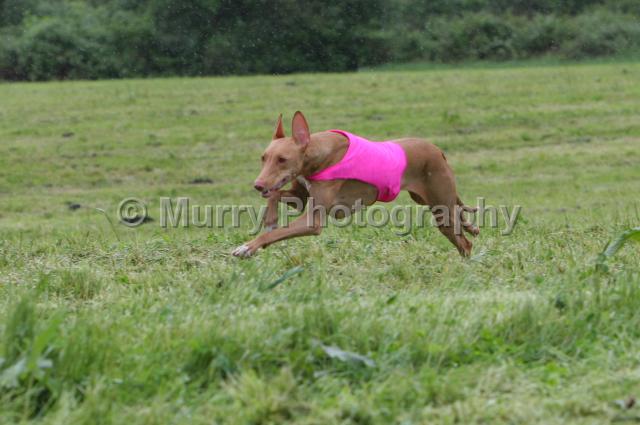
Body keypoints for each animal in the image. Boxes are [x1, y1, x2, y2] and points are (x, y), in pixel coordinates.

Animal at [232, 111, 478, 258]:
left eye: (282, 159)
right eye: (264, 158)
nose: (258, 185)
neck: (317, 155)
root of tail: (438, 150)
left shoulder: (313, 221)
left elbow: (275, 233)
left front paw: (248, 246)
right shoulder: (301, 198)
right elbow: (276, 197)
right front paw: (270, 220)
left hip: (440, 208)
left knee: (464, 243)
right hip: (427, 199)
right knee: (459, 216)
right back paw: (471, 227)